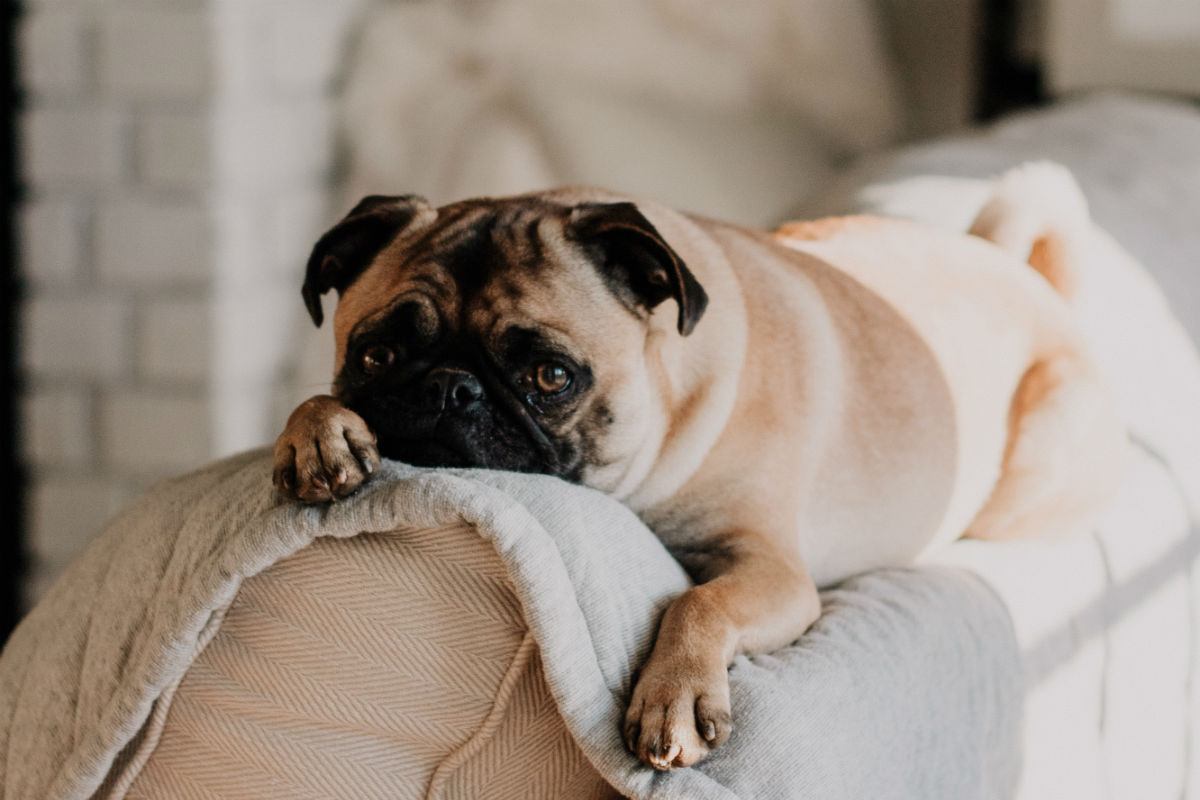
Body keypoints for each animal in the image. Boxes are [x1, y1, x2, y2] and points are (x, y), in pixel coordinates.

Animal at [272, 163, 1123, 767]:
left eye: (552, 377)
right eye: (376, 355)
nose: (452, 389)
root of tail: (1022, 274)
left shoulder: (773, 571)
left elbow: (697, 603)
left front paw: (674, 696)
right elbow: (313, 404)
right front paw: (318, 432)